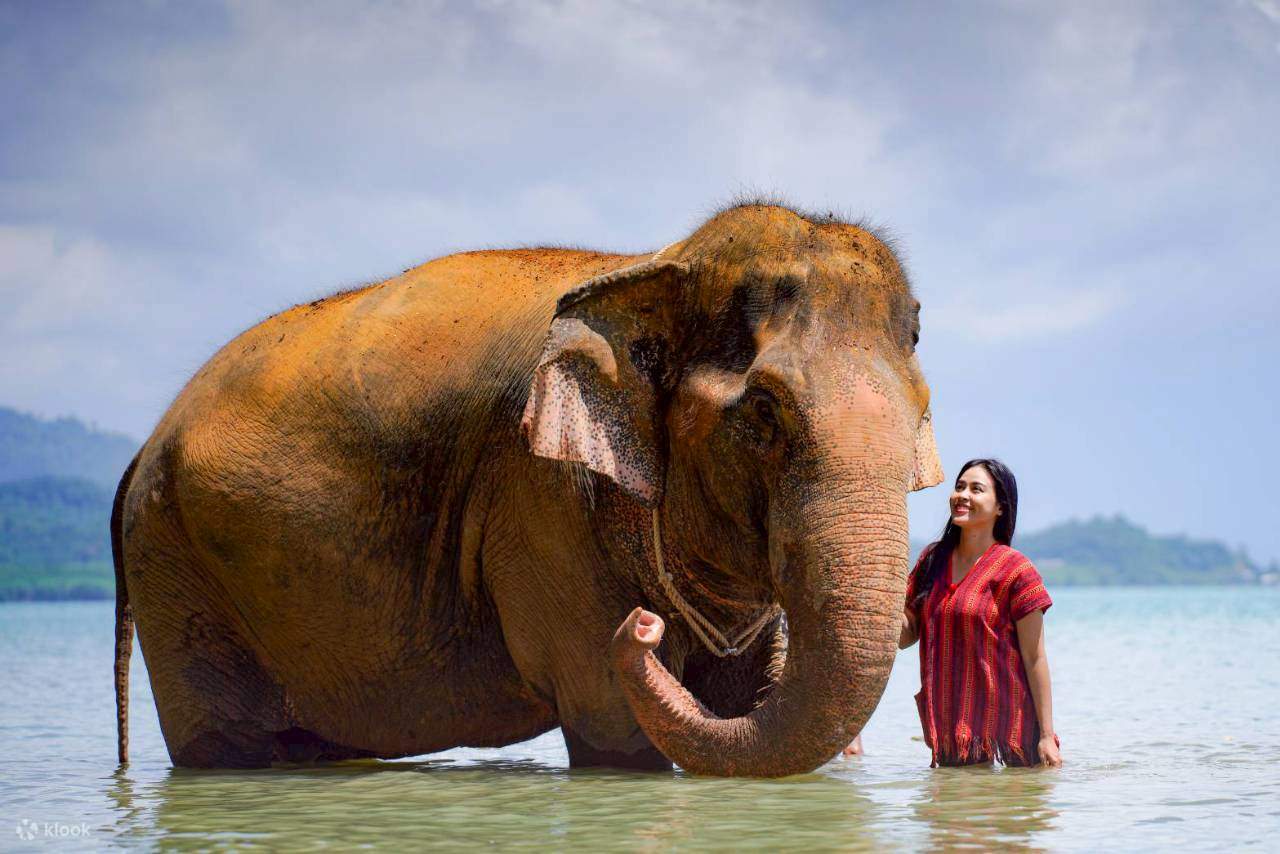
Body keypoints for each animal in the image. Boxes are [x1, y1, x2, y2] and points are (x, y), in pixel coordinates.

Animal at [111, 201, 944, 776]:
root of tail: (144, 447)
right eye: (765, 413)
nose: (641, 627)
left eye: (919, 414)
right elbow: (611, 719)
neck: (655, 264)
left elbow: (742, 701)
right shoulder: (540, 504)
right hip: (174, 564)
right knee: (224, 741)